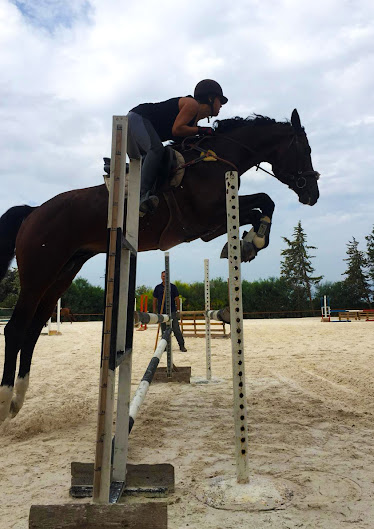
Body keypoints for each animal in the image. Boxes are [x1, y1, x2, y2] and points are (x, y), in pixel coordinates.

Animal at [0, 107, 322, 420]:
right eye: (304, 149)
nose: (313, 195)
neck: (215, 160)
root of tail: (34, 211)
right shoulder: (208, 217)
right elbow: (263, 201)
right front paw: (252, 241)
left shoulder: (212, 225)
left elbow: (263, 203)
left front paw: (249, 243)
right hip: (39, 273)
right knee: (15, 329)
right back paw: (5, 402)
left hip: (63, 273)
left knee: (33, 330)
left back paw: (18, 399)